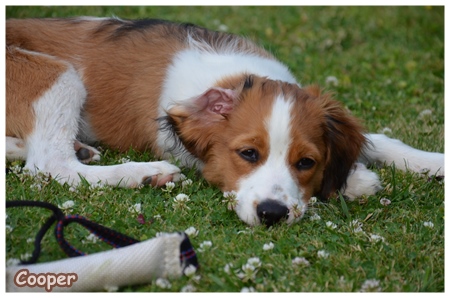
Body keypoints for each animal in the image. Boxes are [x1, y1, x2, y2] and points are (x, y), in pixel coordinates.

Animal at [5, 17, 444, 226]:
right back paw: (143, 173)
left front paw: (432, 162)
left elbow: (380, 139)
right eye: (247, 154)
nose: (272, 214)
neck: (232, 79)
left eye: (306, 162)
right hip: (55, 74)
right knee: (50, 165)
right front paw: (356, 180)